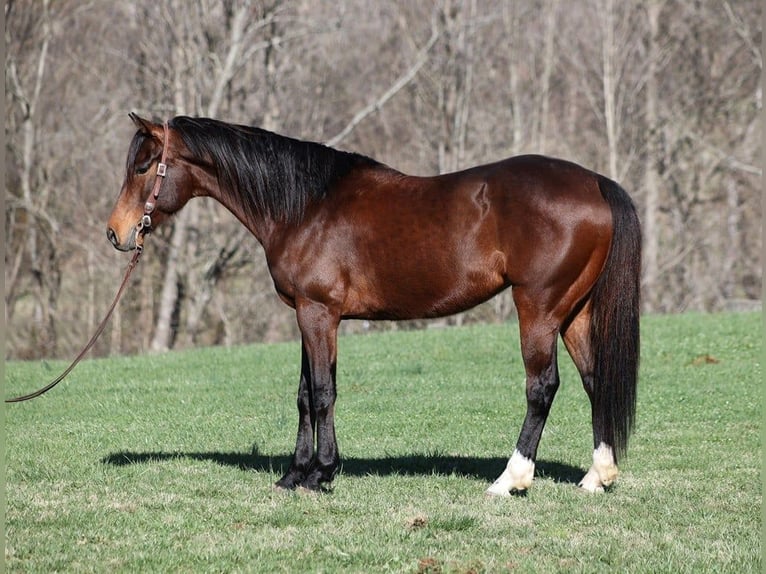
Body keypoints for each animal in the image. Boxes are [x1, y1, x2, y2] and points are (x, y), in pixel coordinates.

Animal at [107, 114, 640, 495]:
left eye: (142, 166)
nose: (116, 233)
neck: (305, 206)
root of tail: (595, 182)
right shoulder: (308, 313)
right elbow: (304, 394)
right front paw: (295, 473)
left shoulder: (319, 312)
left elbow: (323, 392)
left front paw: (320, 474)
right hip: (574, 312)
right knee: (595, 379)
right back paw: (597, 476)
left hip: (539, 309)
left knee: (541, 387)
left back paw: (510, 479)